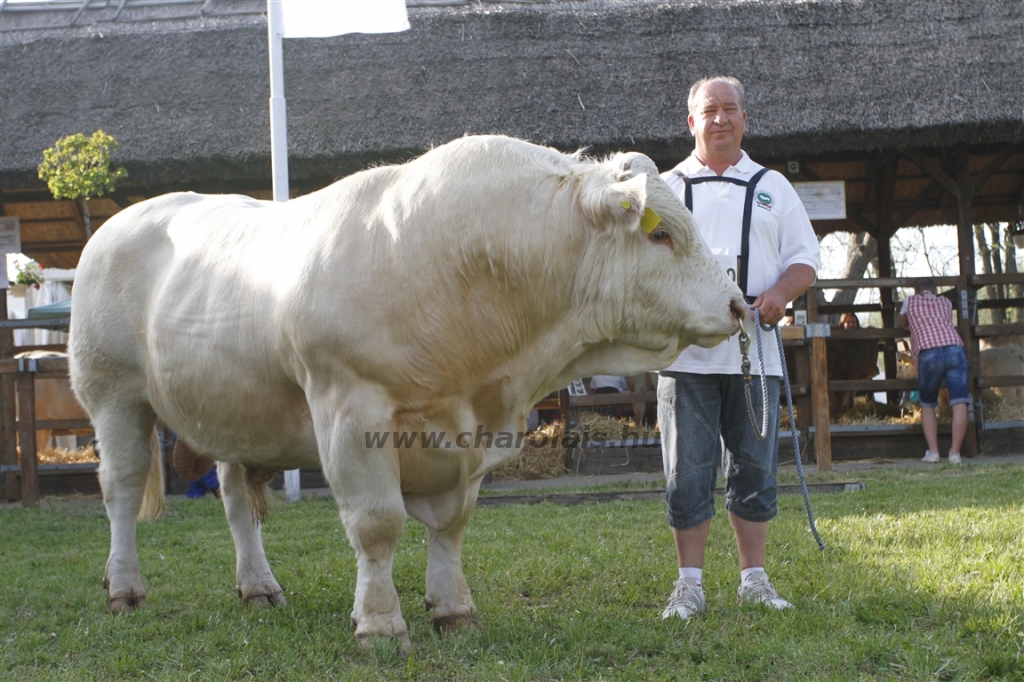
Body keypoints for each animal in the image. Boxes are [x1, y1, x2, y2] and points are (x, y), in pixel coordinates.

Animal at [72, 134, 745, 647]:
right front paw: (379, 622)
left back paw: (258, 586)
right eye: (661, 235)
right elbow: (377, 524)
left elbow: (451, 526)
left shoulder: (469, 434)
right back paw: (124, 586)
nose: (740, 304)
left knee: (237, 501)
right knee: (121, 491)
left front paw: (453, 607)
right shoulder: (351, 410)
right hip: (113, 395)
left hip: (237, 411)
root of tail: (124, 219)